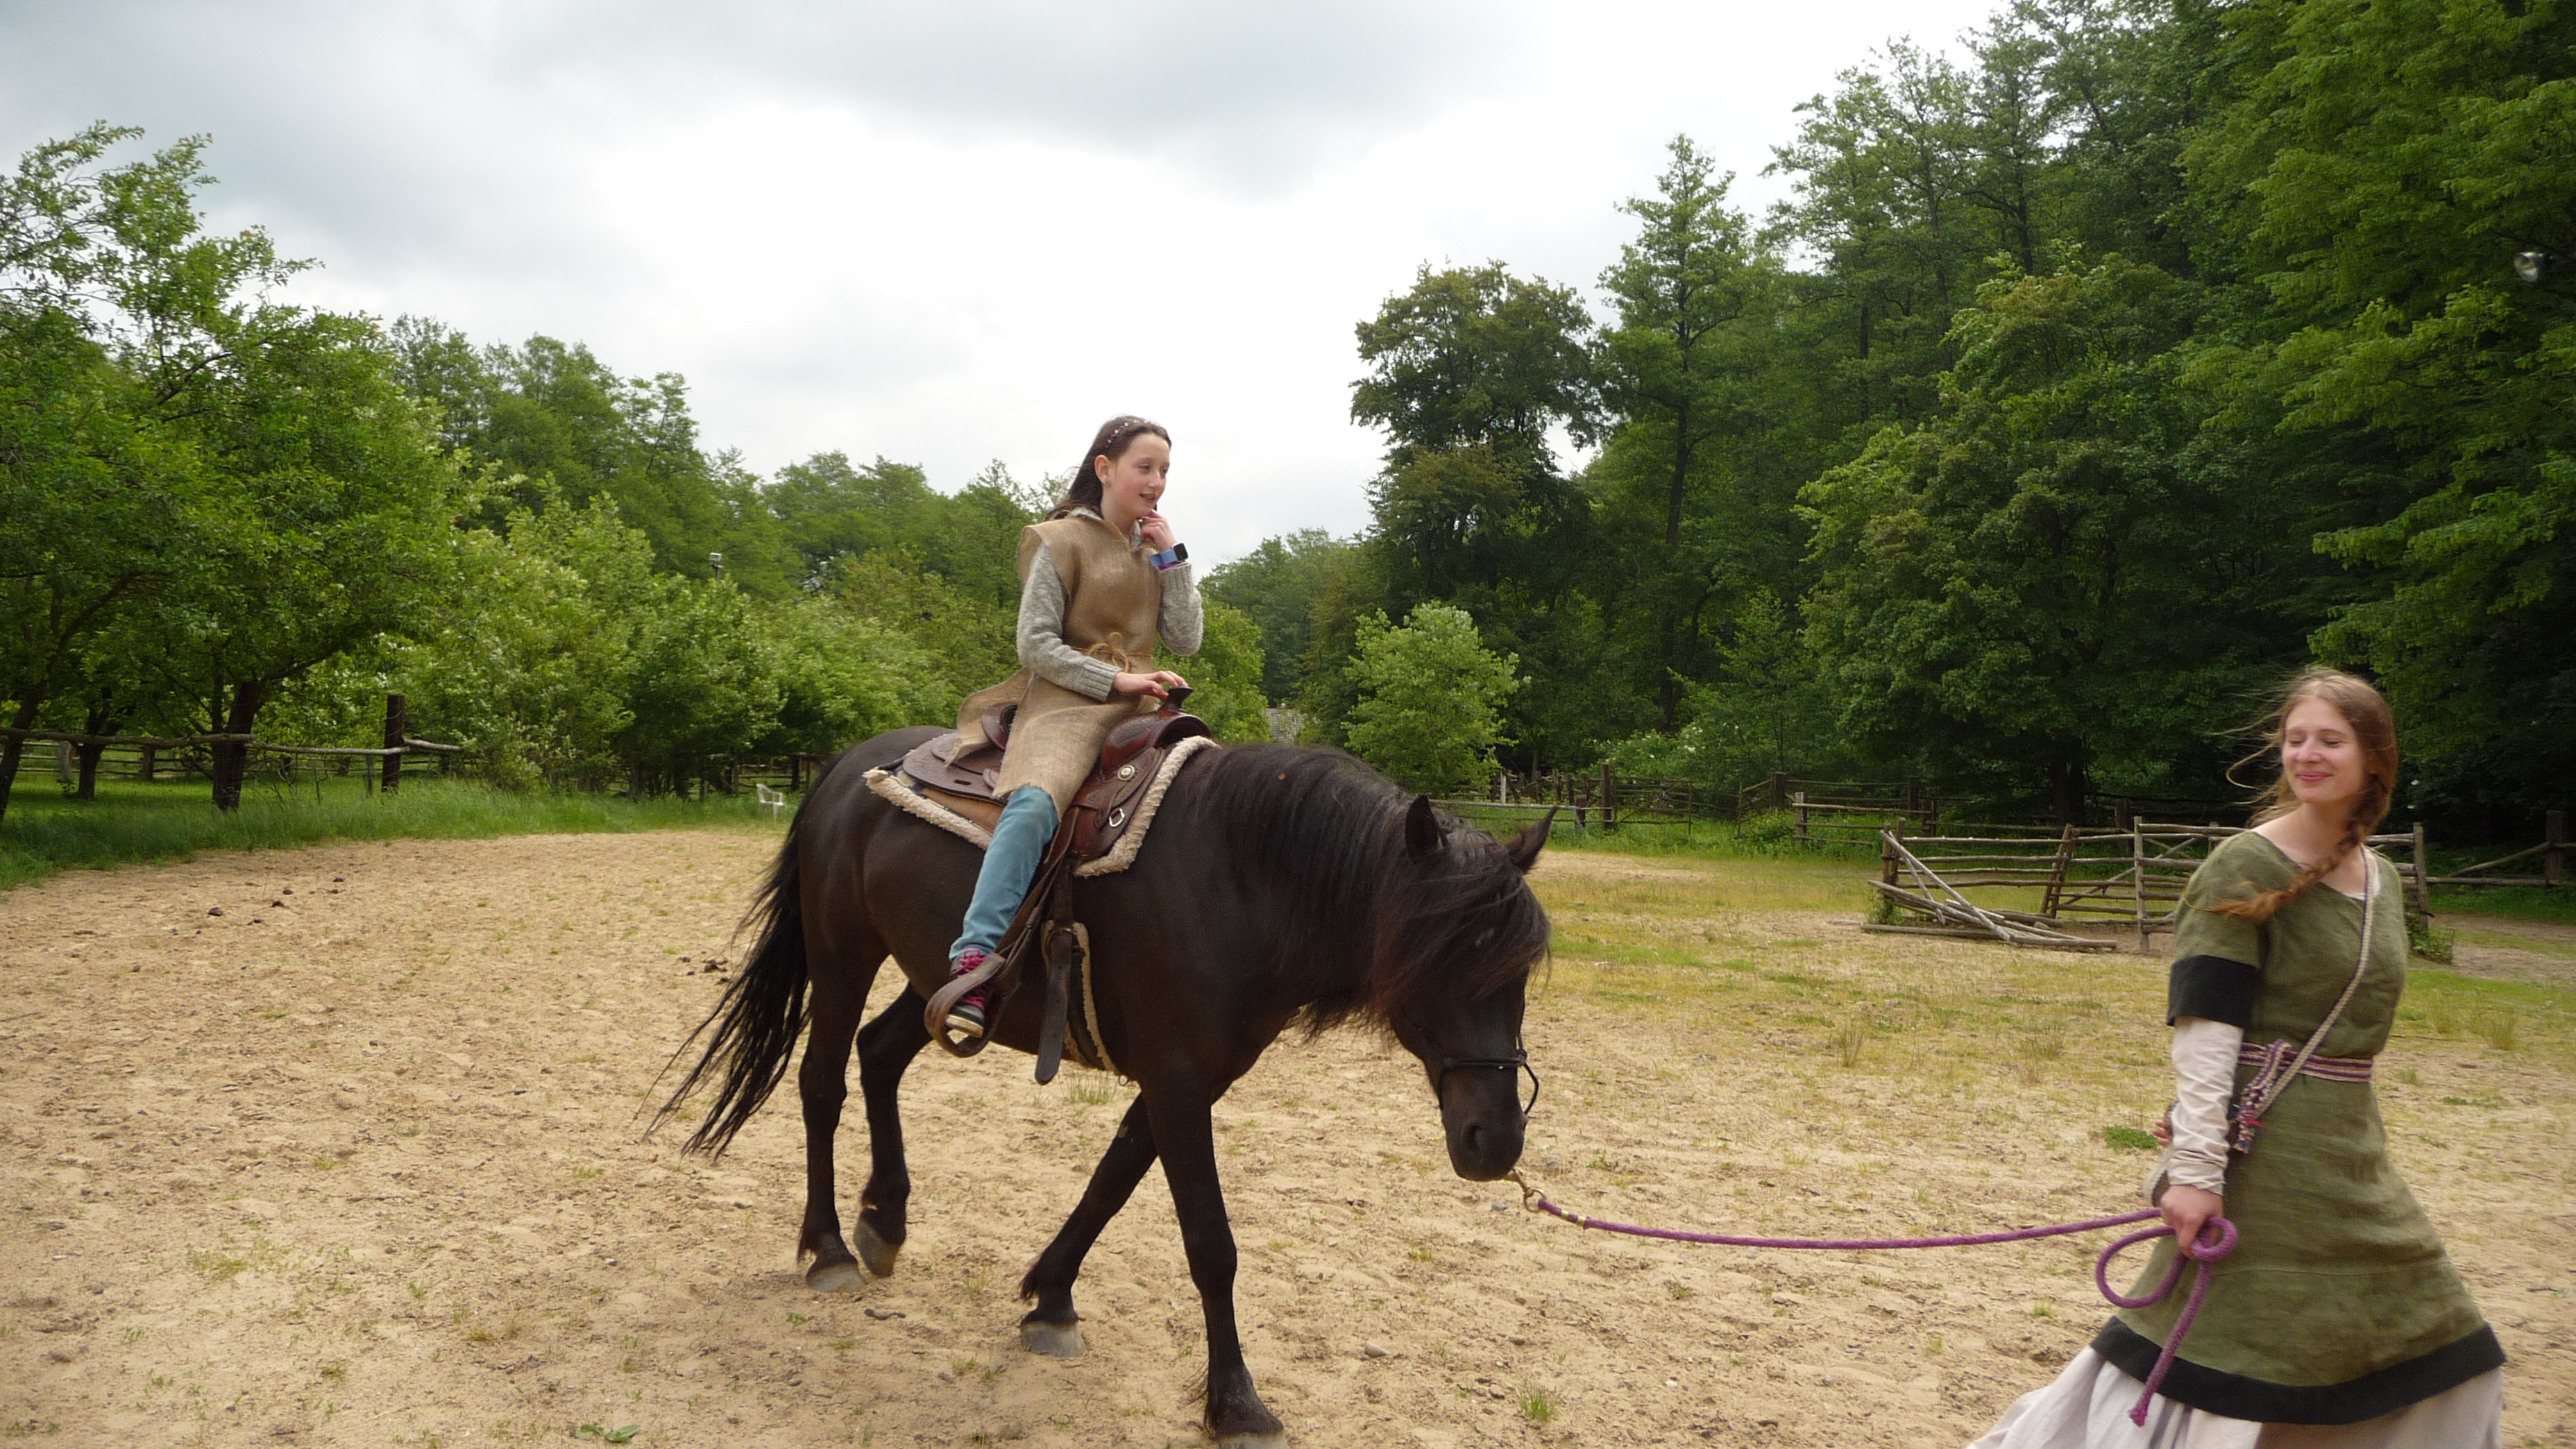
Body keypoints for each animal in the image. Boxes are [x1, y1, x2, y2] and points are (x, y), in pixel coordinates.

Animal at [655, 728, 1553, 1447]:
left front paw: (1050, 1301)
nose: (1495, 1141)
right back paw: (831, 1249)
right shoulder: (1178, 1079)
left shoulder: (1190, 1077)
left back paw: (886, 1220)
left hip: (938, 979)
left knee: (878, 1056)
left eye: (1520, 970)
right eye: (1436, 955)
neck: (1244, 881)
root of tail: (846, 766)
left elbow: (1111, 1181)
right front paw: (1236, 1403)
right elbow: (1210, 1243)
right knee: (821, 1084)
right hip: (842, 952)